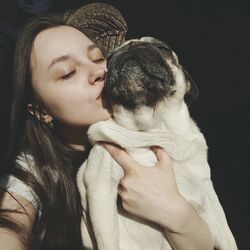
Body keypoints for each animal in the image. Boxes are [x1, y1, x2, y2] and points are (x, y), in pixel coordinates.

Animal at [77, 36, 237, 249]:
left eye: (163, 48)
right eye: (109, 58)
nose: (132, 46)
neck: (152, 129)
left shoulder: (207, 194)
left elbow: (228, 238)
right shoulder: (101, 186)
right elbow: (108, 241)